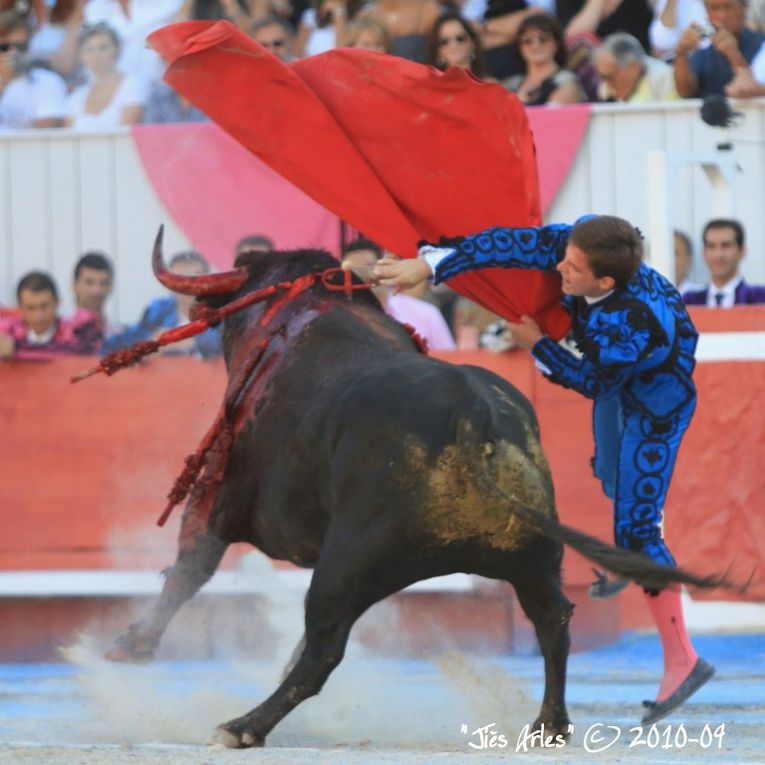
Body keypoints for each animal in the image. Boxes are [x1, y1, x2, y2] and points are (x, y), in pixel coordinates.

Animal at [106, 245, 724, 748]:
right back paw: (549, 725)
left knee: (322, 650)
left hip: (346, 562)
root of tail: (472, 414)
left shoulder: (215, 496)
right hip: (530, 558)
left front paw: (130, 645)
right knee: (554, 622)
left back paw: (242, 726)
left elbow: (190, 567)